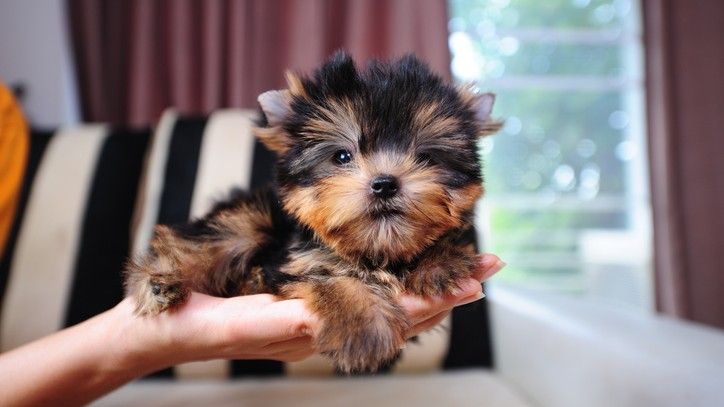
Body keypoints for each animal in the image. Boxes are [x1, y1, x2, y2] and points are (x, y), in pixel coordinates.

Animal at [124, 52, 498, 374]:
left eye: (426, 157)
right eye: (342, 156)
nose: (384, 184)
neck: (375, 249)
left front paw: (439, 262)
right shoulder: (298, 260)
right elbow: (331, 279)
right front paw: (366, 327)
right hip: (249, 221)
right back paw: (158, 282)